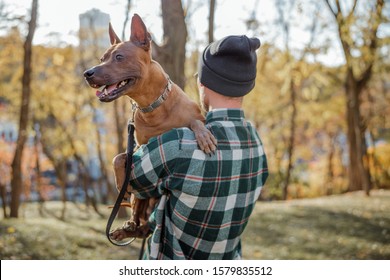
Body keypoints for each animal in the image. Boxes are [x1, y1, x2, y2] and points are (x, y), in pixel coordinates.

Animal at [84, 13, 216, 241]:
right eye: (102, 59)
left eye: (119, 57)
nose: (87, 73)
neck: (152, 107)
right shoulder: (138, 147)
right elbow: (119, 157)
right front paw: (119, 180)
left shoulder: (195, 116)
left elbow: (196, 121)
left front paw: (203, 135)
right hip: (140, 198)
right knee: (138, 214)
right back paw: (128, 227)